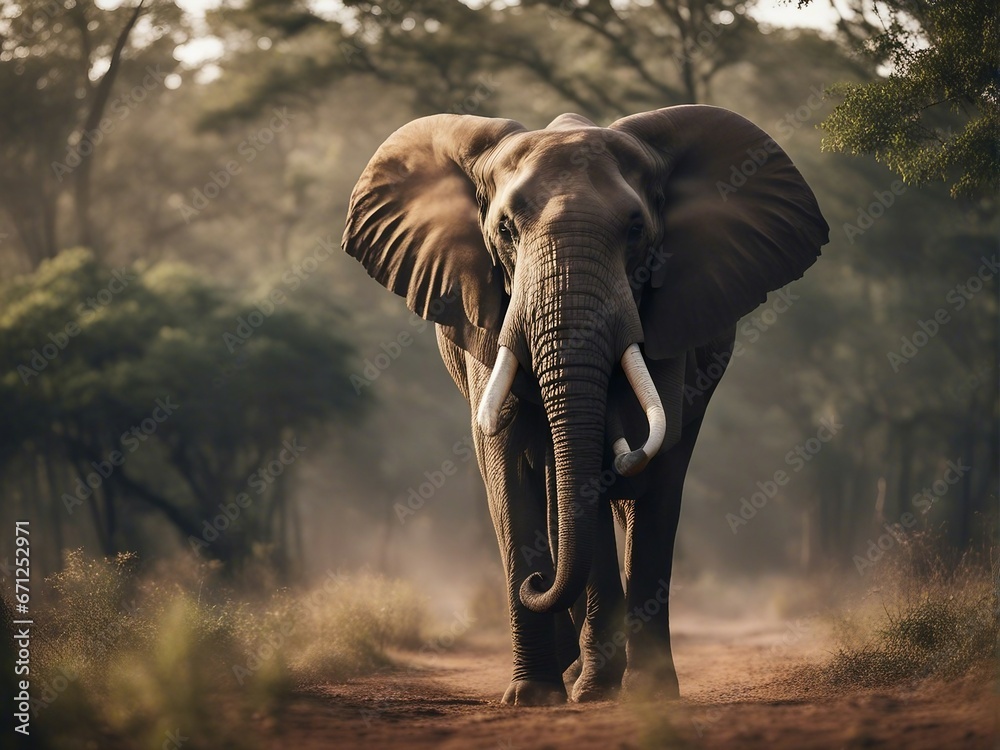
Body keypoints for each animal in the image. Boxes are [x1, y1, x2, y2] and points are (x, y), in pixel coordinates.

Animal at [342, 105, 829, 705]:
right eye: (505, 230)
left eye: (636, 230)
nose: (535, 584)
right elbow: (507, 460)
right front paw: (533, 695)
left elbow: (633, 460)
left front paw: (641, 693)